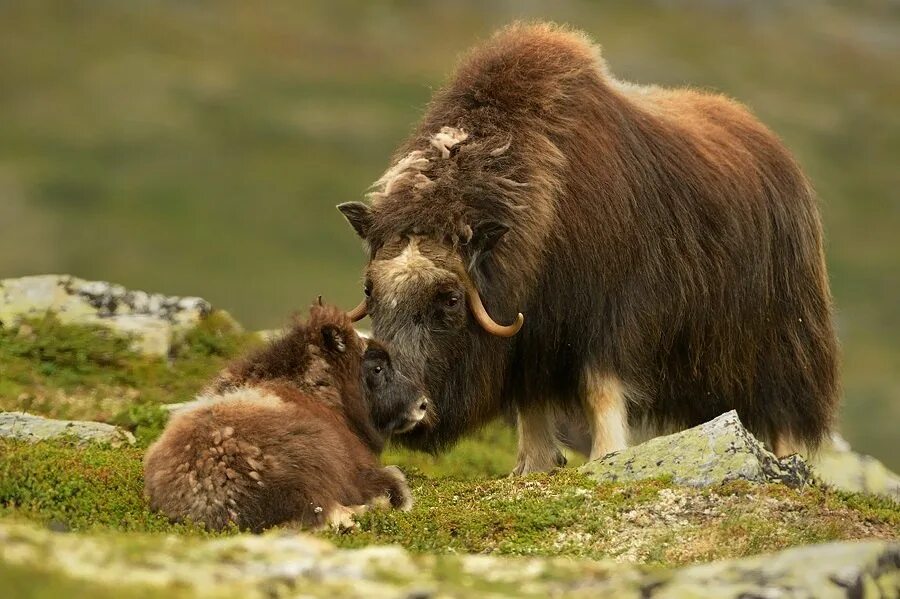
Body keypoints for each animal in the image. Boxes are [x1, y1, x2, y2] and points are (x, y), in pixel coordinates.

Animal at [338, 22, 836, 474]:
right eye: (369, 292)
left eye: (450, 299)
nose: (400, 407)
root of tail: (778, 153)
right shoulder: (532, 337)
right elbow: (531, 399)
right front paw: (533, 465)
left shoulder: (613, 317)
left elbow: (601, 387)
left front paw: (606, 456)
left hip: (781, 344)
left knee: (784, 408)